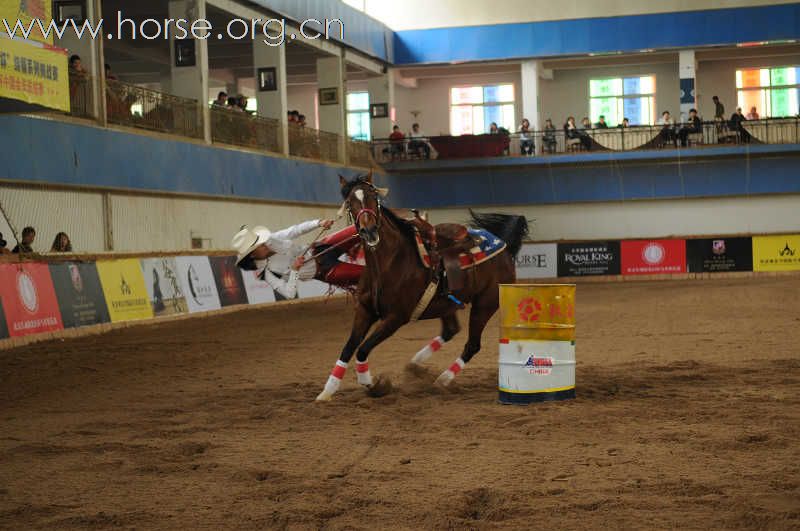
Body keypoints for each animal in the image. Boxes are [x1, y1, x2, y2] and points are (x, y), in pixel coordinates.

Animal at [314, 172, 532, 402]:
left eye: (374, 198)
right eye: (350, 203)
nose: (369, 231)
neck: (389, 264)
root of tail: (503, 245)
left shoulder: (395, 318)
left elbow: (363, 349)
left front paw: (372, 384)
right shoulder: (365, 310)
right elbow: (349, 347)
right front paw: (327, 391)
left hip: (485, 305)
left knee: (472, 345)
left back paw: (442, 380)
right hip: (447, 305)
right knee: (450, 331)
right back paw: (415, 365)